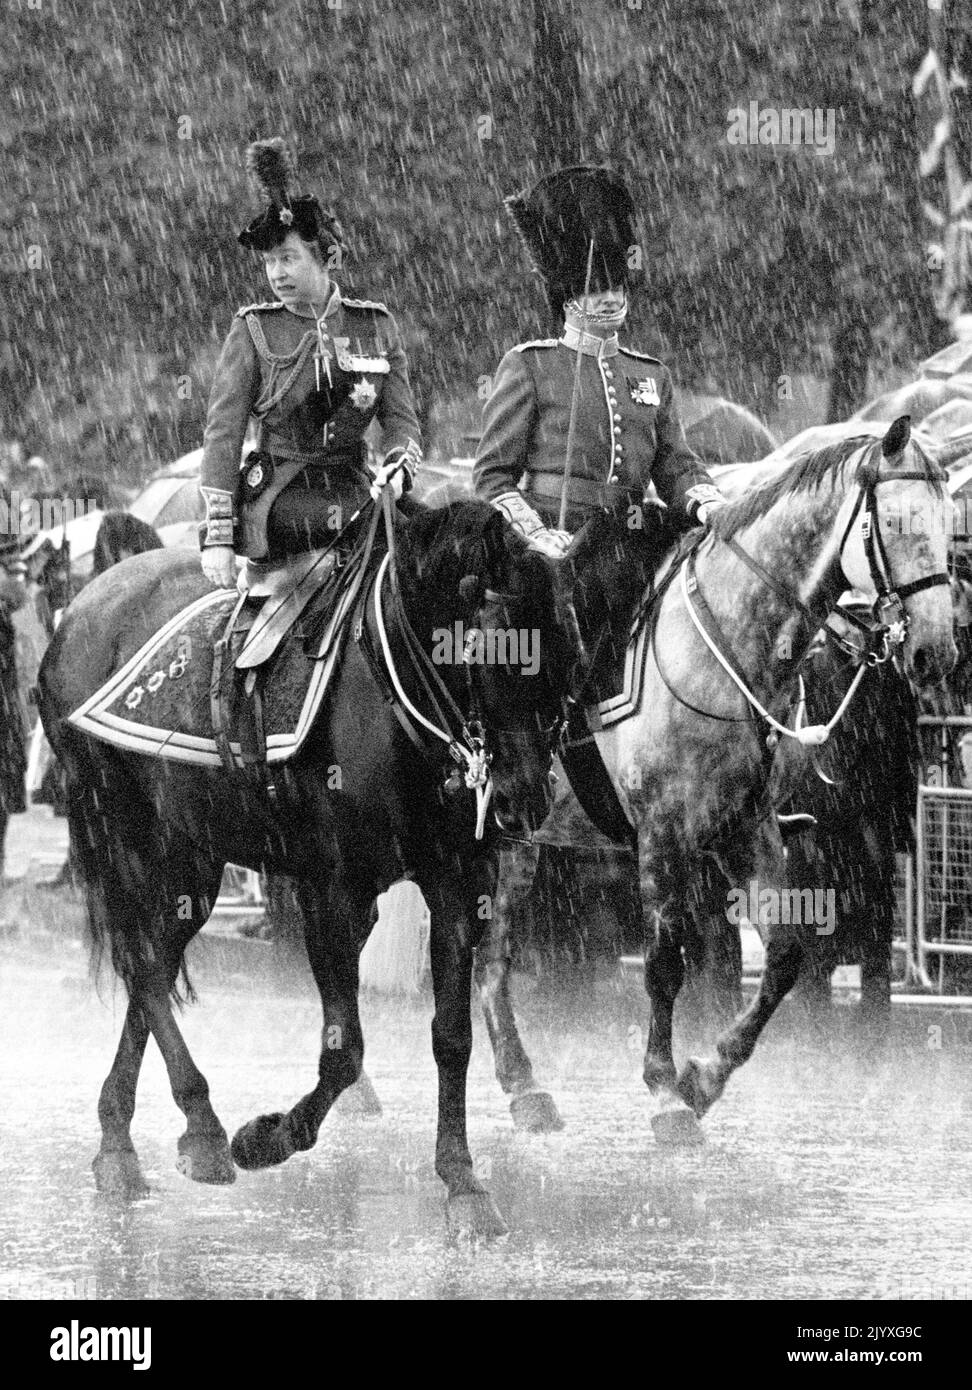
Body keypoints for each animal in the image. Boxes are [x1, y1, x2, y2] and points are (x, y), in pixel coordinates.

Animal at [37, 498, 575, 1238]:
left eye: (563, 646)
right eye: (488, 648)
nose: (528, 795)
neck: (393, 701)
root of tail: (82, 607)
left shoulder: (458, 883)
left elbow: (451, 1037)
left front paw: (463, 1183)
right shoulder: (331, 891)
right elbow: (344, 1049)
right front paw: (267, 1137)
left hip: (192, 856)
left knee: (157, 961)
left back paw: (122, 1140)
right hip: (123, 832)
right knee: (142, 964)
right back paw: (202, 1127)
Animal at [477, 418, 955, 1140]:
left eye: (948, 517)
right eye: (895, 522)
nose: (937, 651)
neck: (730, 645)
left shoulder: (746, 829)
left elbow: (785, 955)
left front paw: (703, 1077)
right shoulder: (664, 836)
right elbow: (664, 964)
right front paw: (664, 1091)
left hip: (520, 842)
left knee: (490, 957)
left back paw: (522, 1085)